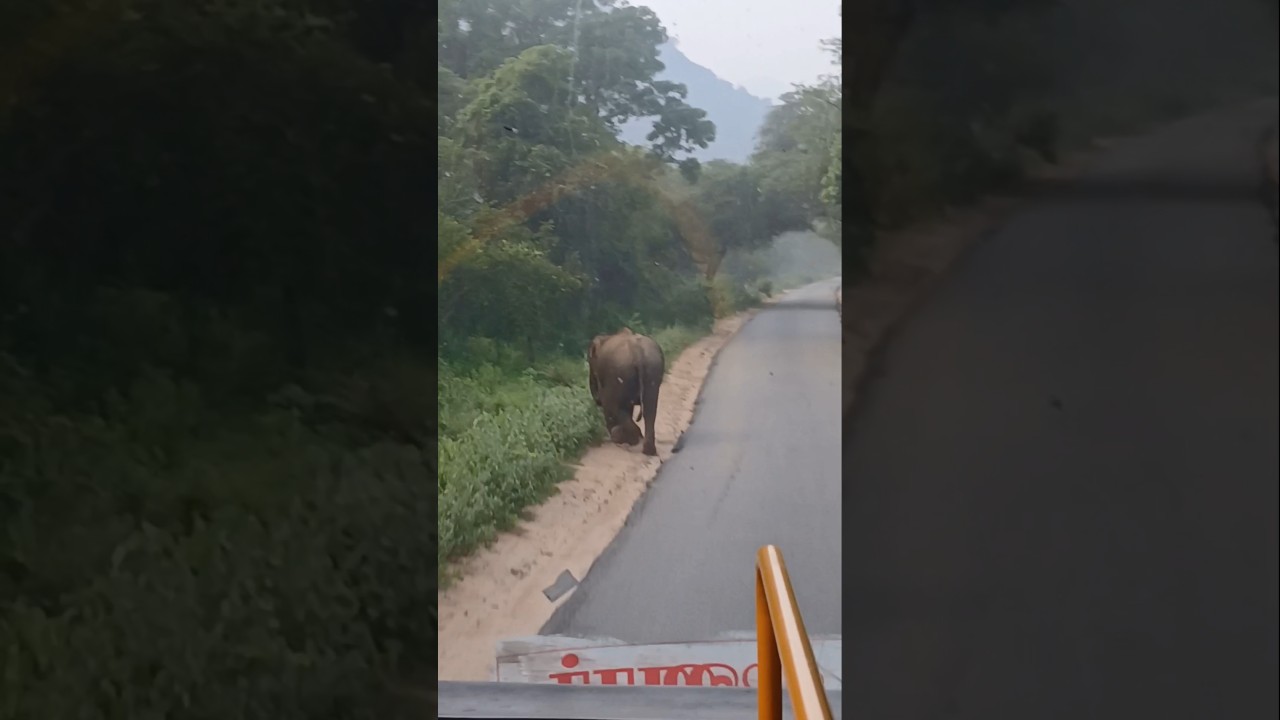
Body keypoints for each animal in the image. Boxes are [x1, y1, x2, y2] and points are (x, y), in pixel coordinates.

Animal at [587, 327, 665, 456]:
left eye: (589, 363)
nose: (596, 400)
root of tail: (638, 353)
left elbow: (608, 404)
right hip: (652, 370)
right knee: (650, 409)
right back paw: (648, 450)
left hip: (619, 373)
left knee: (613, 406)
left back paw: (623, 438)